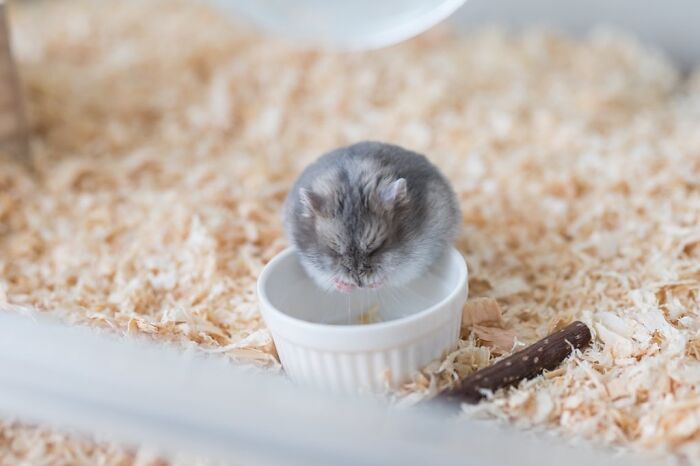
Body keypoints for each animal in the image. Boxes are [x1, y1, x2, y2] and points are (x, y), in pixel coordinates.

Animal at [283, 141, 460, 292]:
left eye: (377, 247)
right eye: (333, 249)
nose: (359, 284)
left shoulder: (417, 259)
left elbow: (392, 275)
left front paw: (374, 284)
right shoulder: (310, 264)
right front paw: (344, 285)